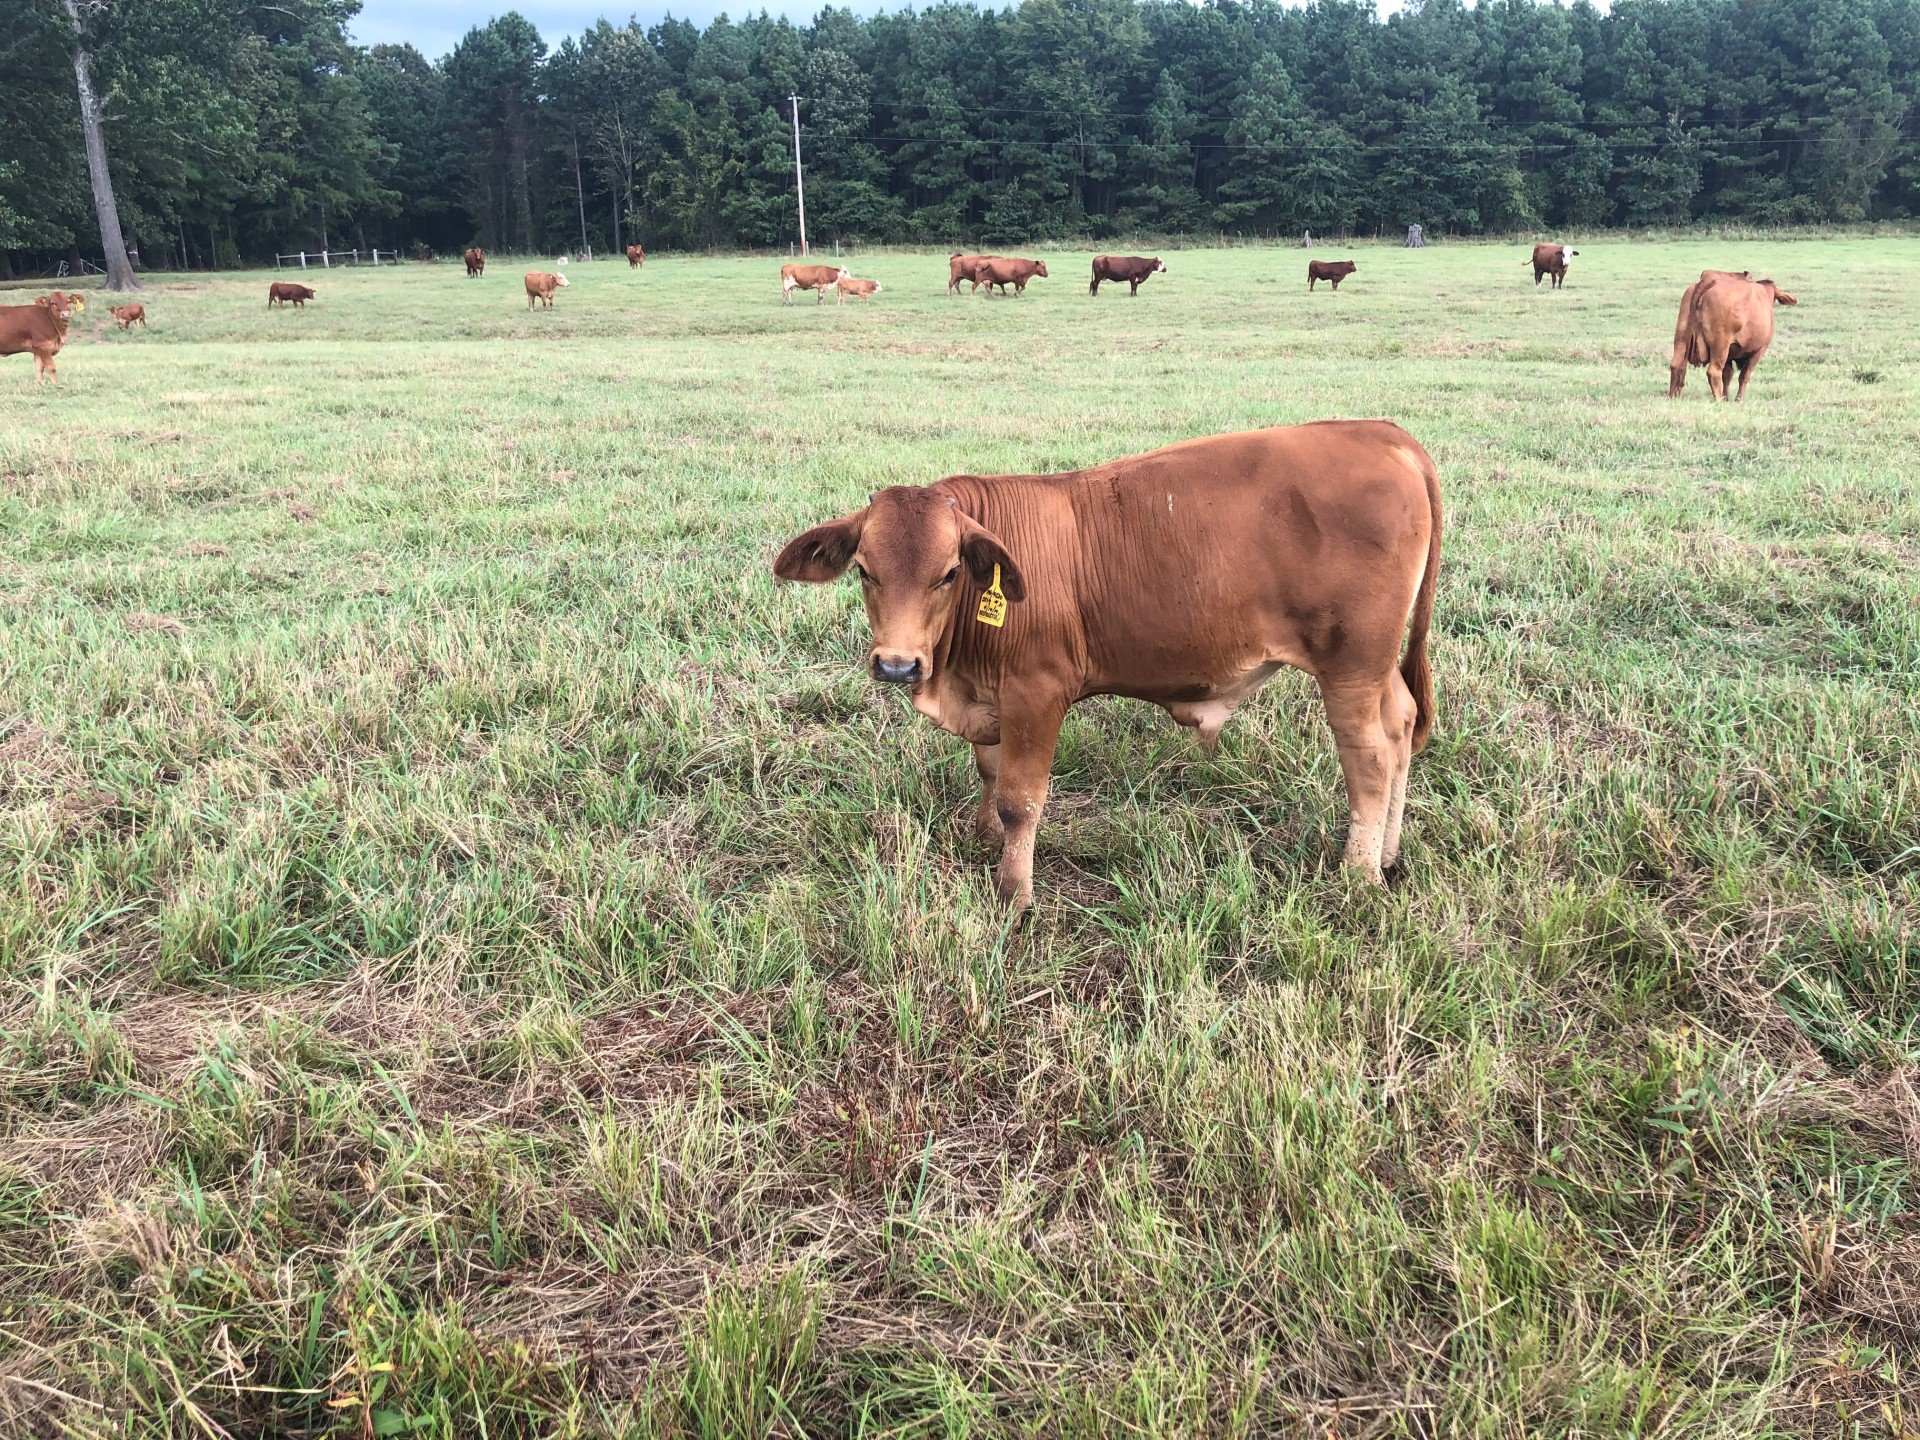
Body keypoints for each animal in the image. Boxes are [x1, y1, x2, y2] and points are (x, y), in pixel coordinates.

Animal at [773, 420, 1442, 909]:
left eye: (949, 572)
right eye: (864, 571)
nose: (897, 666)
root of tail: (1381, 434)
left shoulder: (1037, 693)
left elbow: (1021, 797)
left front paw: (1014, 892)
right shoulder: (992, 701)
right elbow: (989, 771)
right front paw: (985, 837)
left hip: (1351, 667)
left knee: (1369, 760)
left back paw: (1359, 874)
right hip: (1377, 670)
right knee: (1401, 727)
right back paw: (1388, 855)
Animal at [1669, 270, 1797, 401]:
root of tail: (1709, 278)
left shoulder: (1730, 354)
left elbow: (1727, 375)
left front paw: (1726, 397)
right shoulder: (1759, 350)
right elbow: (1744, 375)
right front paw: (1738, 399)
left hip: (1681, 338)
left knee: (1676, 366)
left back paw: (1672, 396)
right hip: (1720, 346)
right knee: (1713, 372)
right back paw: (1718, 399)